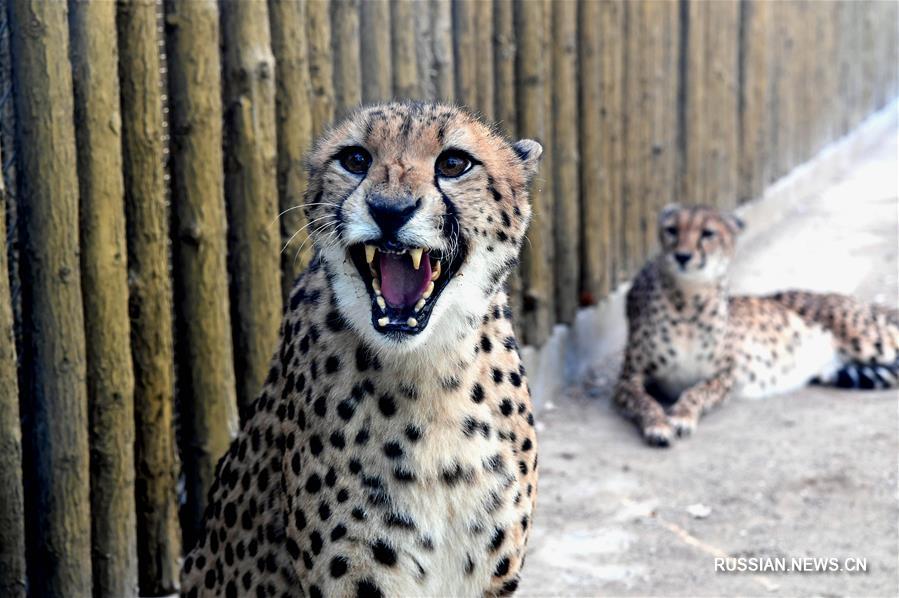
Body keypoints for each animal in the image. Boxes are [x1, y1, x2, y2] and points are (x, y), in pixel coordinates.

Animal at [616, 204, 896, 448]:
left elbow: (696, 392)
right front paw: (658, 425)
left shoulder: (724, 376)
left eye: (708, 233)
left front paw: (682, 416)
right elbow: (644, 401)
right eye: (672, 230)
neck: (686, 299)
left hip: (870, 340)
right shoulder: (628, 378)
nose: (682, 256)